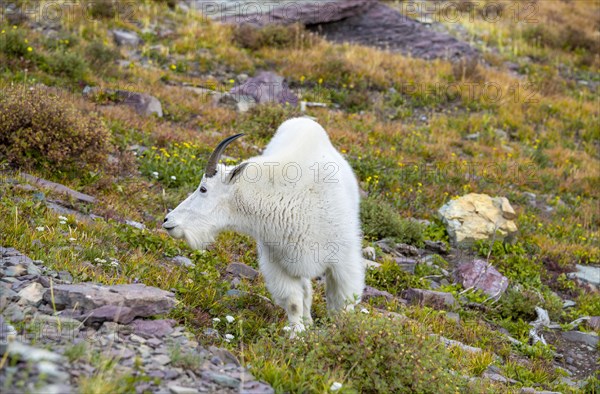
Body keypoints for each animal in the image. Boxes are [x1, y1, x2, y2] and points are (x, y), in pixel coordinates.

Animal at [162, 116, 364, 332]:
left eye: (203, 189)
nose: (168, 220)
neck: (287, 199)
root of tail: (303, 121)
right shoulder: (279, 262)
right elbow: (294, 302)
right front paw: (298, 334)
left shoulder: (343, 259)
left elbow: (342, 301)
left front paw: (342, 330)